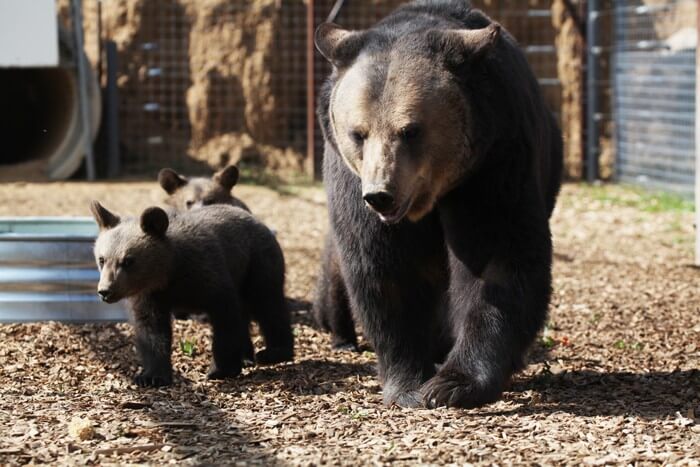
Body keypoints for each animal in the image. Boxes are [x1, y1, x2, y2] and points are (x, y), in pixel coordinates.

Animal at [312, 0, 564, 410]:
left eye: (411, 130)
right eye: (358, 133)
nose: (381, 194)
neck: (430, 196)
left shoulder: (492, 161)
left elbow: (494, 261)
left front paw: (454, 383)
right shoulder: (350, 180)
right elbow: (385, 267)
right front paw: (409, 383)